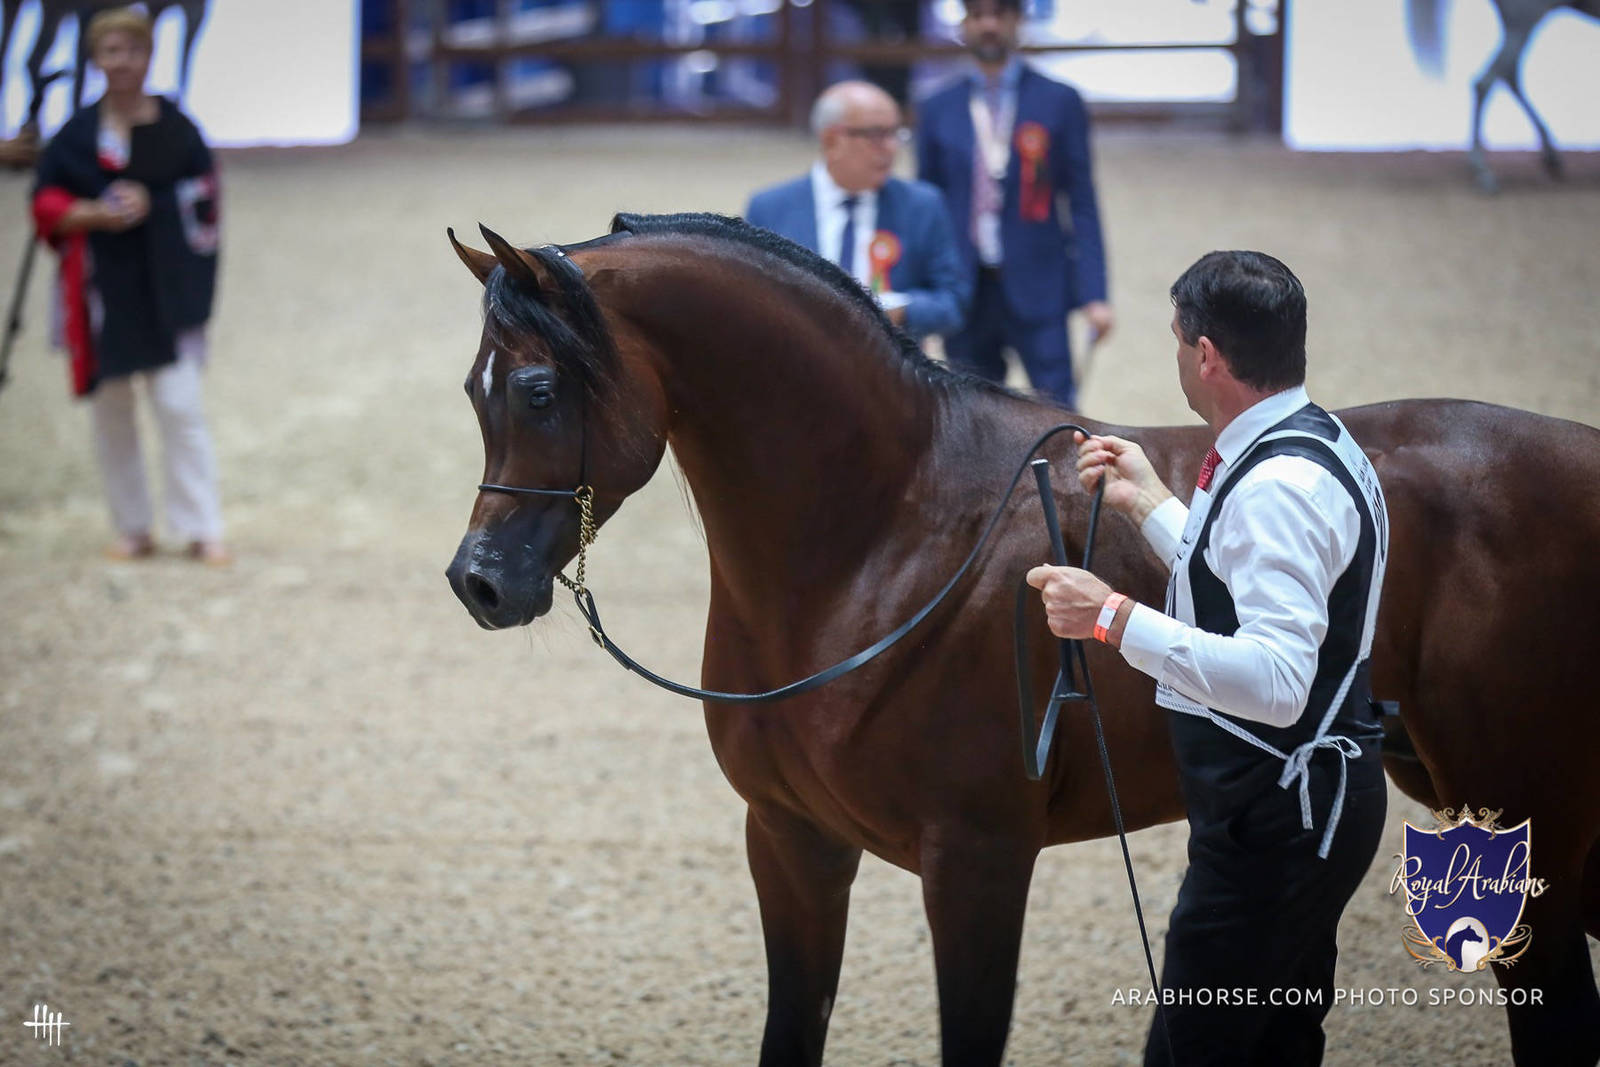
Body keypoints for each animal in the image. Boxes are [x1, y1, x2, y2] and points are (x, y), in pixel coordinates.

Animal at [443, 213, 1600, 1066]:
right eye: (472, 389)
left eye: (539, 388)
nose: (478, 582)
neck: (881, 533)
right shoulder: (790, 841)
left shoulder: (977, 861)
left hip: (1528, 820)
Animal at [1406, 0, 1600, 193]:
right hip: (1524, 16)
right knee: (1486, 81)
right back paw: (1483, 169)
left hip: (1516, 21)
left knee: (1508, 75)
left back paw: (1550, 156)